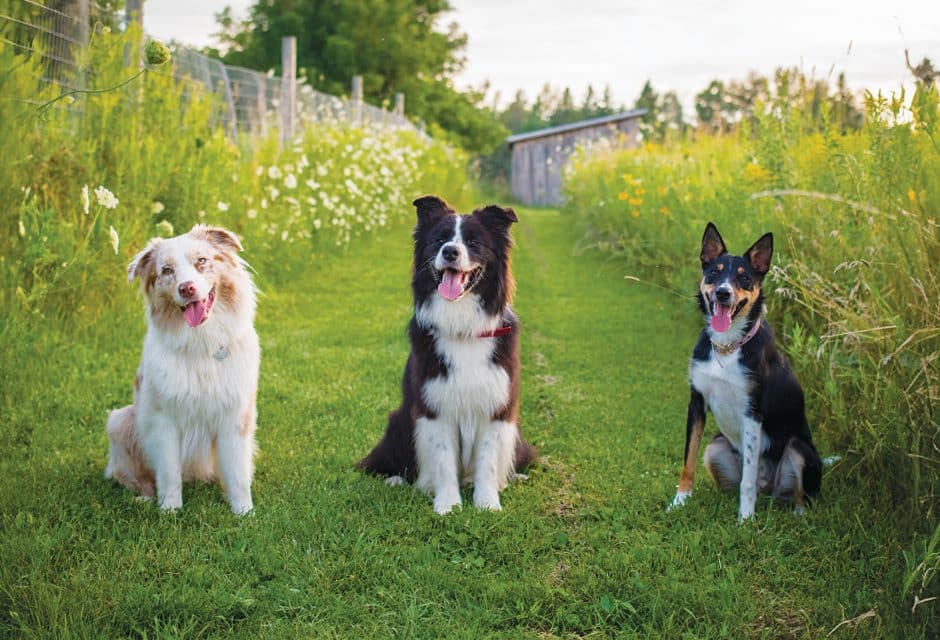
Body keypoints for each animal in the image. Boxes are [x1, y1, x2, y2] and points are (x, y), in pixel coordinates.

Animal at [360, 195, 536, 516]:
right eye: (439, 240)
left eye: (473, 242)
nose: (450, 251)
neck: (462, 325)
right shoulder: (434, 405)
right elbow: (442, 460)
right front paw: (448, 505)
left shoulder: (496, 406)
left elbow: (488, 462)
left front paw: (487, 503)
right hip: (398, 420)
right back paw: (396, 480)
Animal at [668, 222, 824, 524]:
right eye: (714, 273)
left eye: (743, 278)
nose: (722, 293)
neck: (727, 346)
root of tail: (769, 488)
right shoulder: (697, 403)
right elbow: (687, 461)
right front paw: (679, 501)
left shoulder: (753, 413)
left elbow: (748, 480)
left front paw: (745, 520)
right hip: (715, 446)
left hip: (800, 449)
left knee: (799, 494)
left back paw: (798, 513)